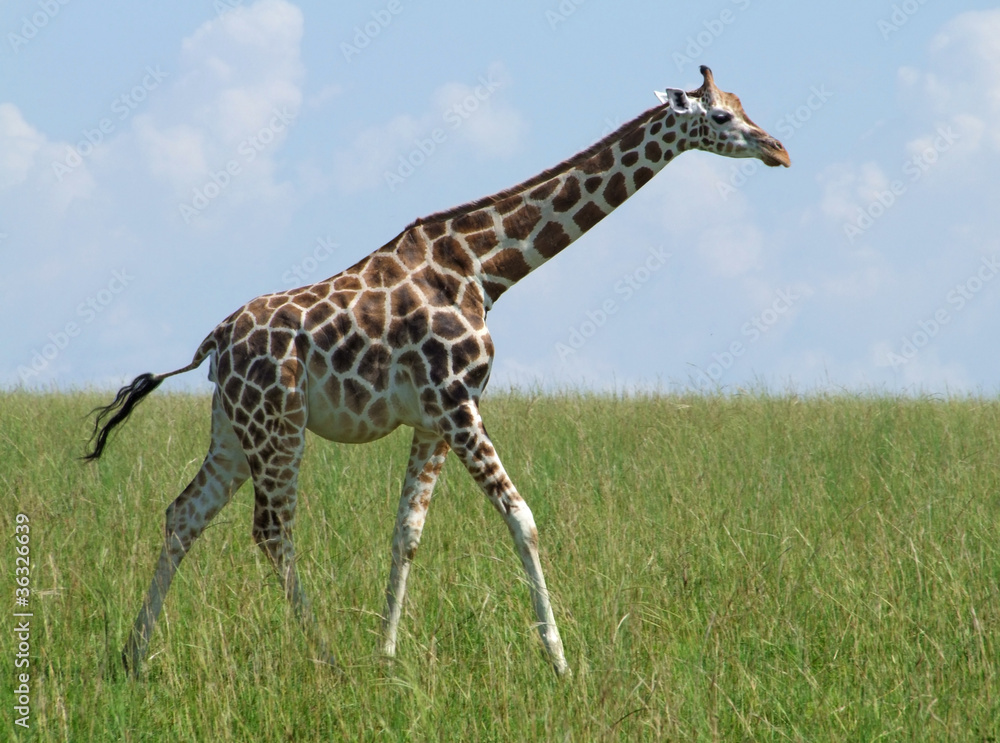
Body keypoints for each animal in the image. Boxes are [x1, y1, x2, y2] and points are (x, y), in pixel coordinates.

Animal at [86, 66, 789, 678]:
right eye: (721, 115)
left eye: (744, 104)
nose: (779, 150)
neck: (484, 268)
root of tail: (216, 341)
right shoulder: (457, 403)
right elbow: (523, 520)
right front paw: (560, 663)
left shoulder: (432, 419)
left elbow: (407, 532)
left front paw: (387, 657)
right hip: (278, 423)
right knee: (271, 531)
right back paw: (325, 658)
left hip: (234, 430)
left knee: (184, 514)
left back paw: (134, 658)